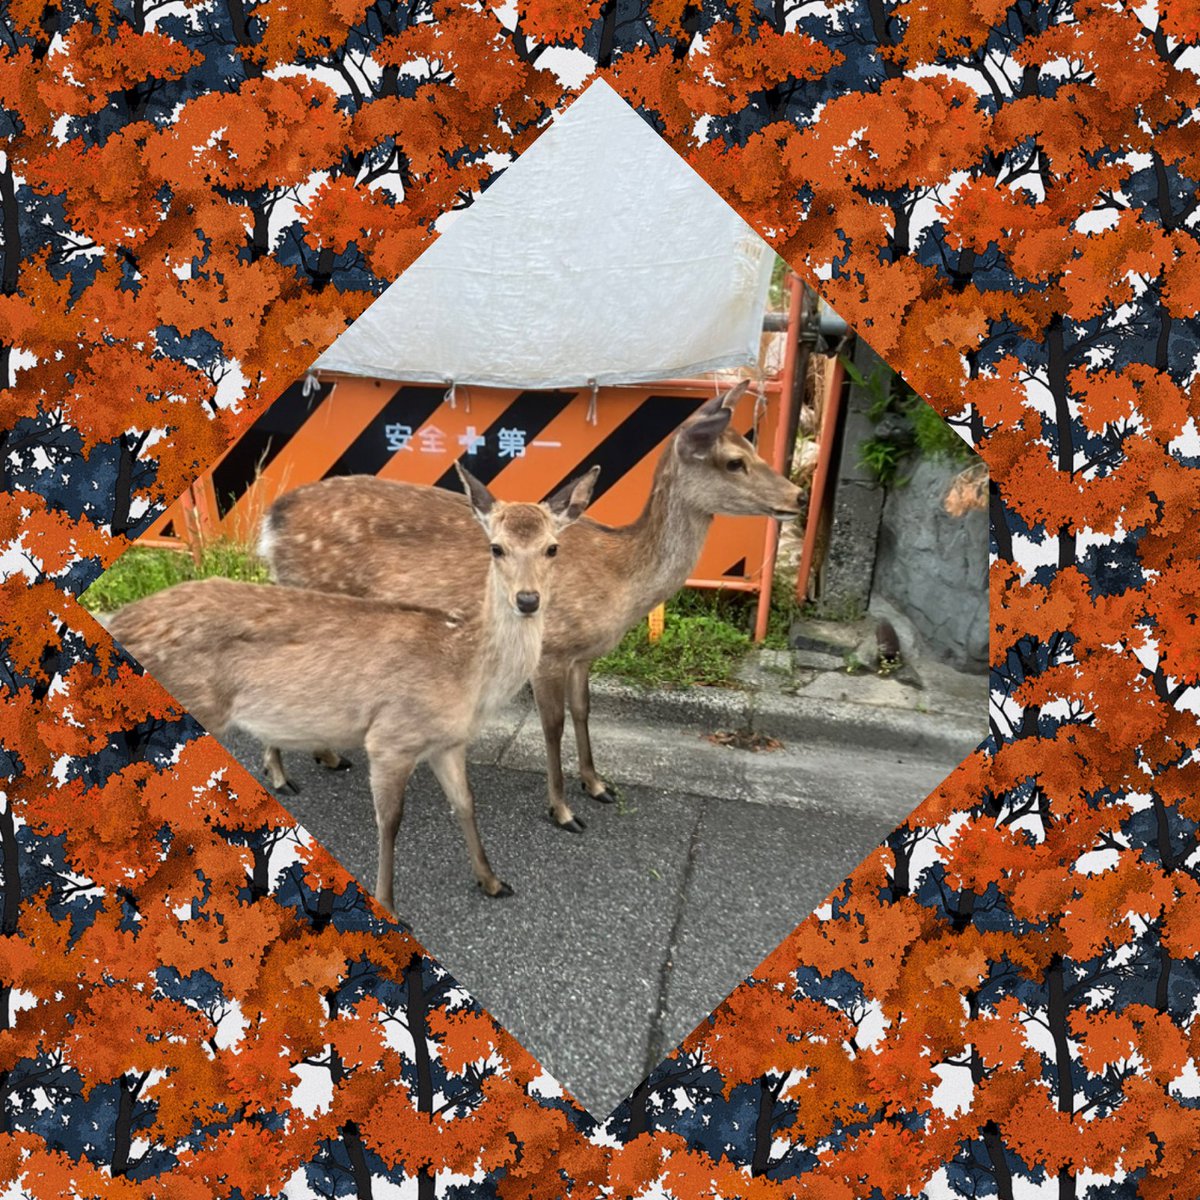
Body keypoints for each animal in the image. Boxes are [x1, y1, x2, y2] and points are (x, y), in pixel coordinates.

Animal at [108, 463, 600, 911]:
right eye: (496, 547)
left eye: (552, 548)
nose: (528, 600)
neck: (466, 671)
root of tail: (119, 620)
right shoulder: (391, 736)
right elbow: (389, 822)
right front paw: (388, 904)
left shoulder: (447, 743)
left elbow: (465, 803)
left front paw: (493, 881)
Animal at [258, 381, 803, 832]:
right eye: (734, 460)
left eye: (752, 447)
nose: (797, 495)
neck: (622, 581)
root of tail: (269, 520)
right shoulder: (552, 649)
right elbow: (553, 726)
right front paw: (563, 811)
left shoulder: (582, 654)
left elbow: (583, 712)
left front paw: (598, 785)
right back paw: (283, 776)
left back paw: (327, 758)